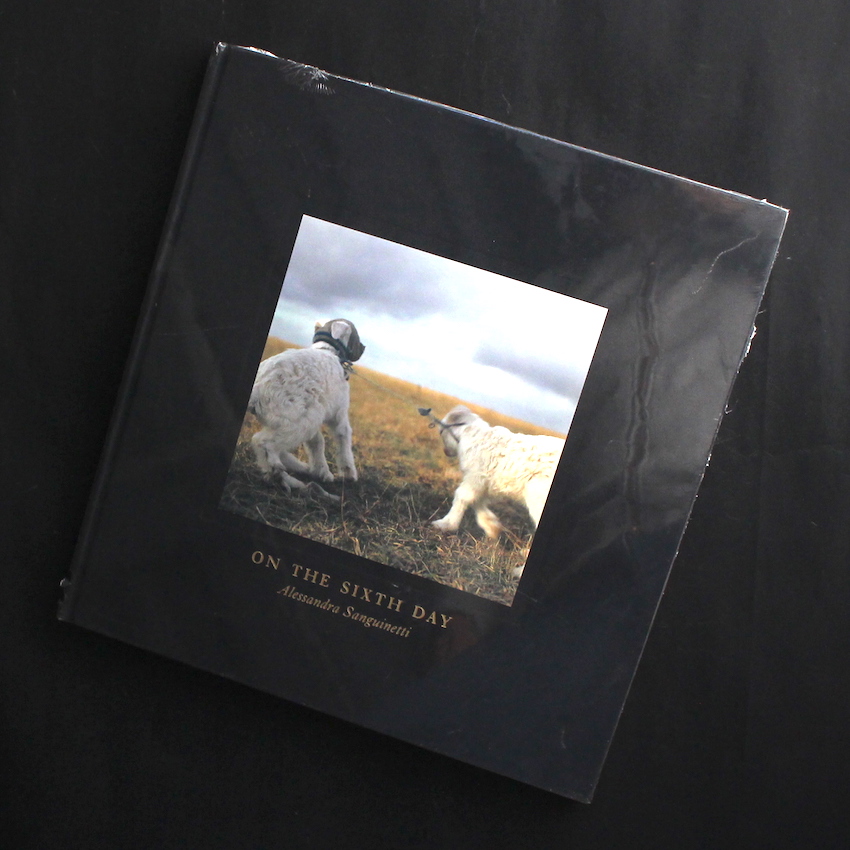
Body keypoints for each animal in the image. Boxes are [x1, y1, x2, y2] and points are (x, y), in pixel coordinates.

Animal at [248, 319, 365, 498]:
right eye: (356, 337)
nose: (364, 347)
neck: (328, 350)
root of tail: (257, 389)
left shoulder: (312, 412)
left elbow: (316, 442)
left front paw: (321, 471)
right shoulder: (338, 416)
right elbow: (343, 438)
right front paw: (349, 474)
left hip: (298, 420)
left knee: (274, 449)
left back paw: (292, 473)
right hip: (296, 422)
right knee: (263, 443)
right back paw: (284, 477)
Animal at [430, 405, 565, 570]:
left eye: (441, 431)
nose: (446, 452)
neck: (473, 433)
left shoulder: (476, 476)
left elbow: (462, 496)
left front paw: (446, 524)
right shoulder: (484, 481)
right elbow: (477, 501)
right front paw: (491, 526)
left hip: (538, 495)